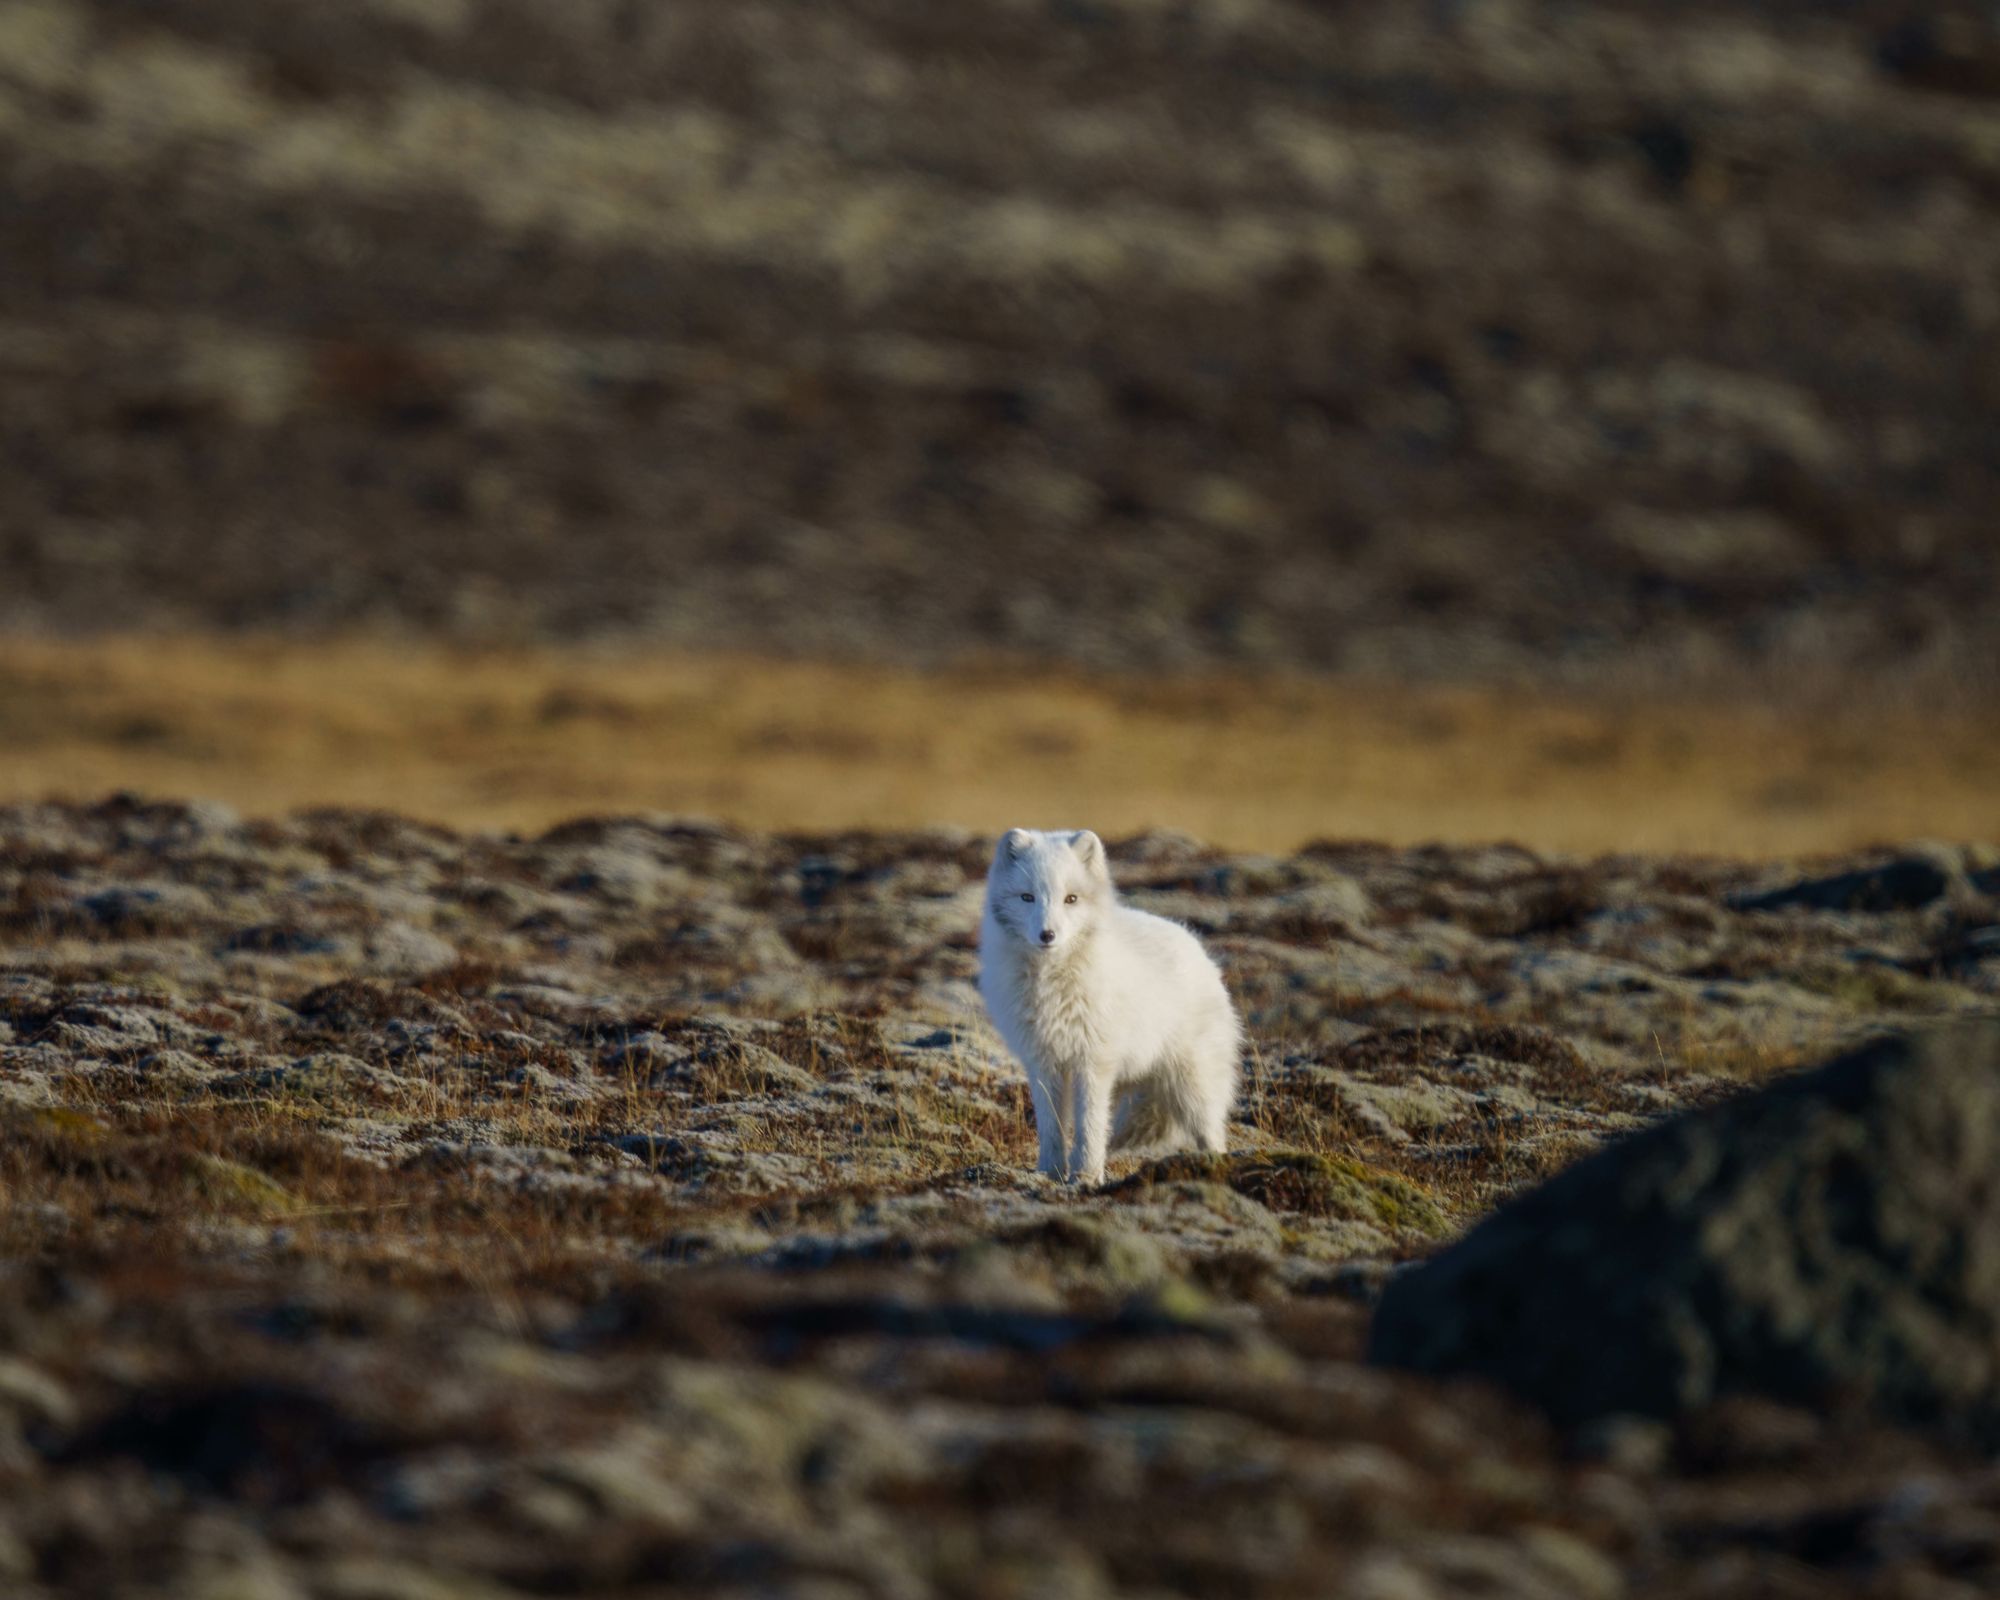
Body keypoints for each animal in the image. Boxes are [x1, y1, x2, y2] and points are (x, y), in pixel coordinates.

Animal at [978, 827, 1241, 1185]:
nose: (1047, 935)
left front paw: (1085, 1177)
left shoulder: (1093, 1060)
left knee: (1211, 1131)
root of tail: (1197, 947)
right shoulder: (1043, 1061)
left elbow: (1089, 1124)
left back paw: (1215, 1167)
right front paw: (1049, 1173)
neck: (1051, 983)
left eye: (1071, 899)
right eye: (1027, 897)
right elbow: (1051, 1126)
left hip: (1192, 1082)